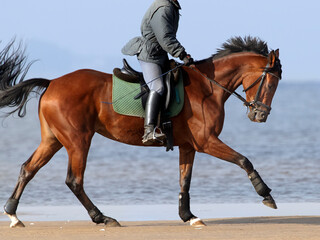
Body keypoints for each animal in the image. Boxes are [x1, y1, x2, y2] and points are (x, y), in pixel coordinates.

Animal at [0, 36, 282, 228]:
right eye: (270, 82)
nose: (260, 115)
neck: (207, 87)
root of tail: (51, 83)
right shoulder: (206, 141)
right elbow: (244, 160)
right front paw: (266, 194)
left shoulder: (189, 146)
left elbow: (185, 180)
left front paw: (188, 216)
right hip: (78, 140)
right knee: (74, 180)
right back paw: (102, 217)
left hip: (53, 140)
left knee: (28, 169)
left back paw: (13, 214)